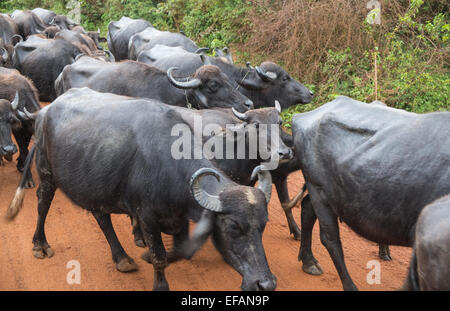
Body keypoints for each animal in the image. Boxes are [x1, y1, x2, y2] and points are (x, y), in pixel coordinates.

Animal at [7, 87, 278, 292]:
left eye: (263, 225)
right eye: (233, 228)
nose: (265, 283)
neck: (167, 163)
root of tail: (44, 112)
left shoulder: (178, 216)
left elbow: (182, 250)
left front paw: (151, 255)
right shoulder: (147, 216)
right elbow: (159, 255)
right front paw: (159, 282)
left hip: (96, 184)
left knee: (101, 217)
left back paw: (122, 258)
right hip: (46, 172)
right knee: (43, 203)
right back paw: (40, 244)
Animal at [292, 96, 450, 292]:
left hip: (323, 192)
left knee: (307, 210)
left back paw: (308, 261)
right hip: (318, 189)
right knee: (330, 238)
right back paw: (348, 285)